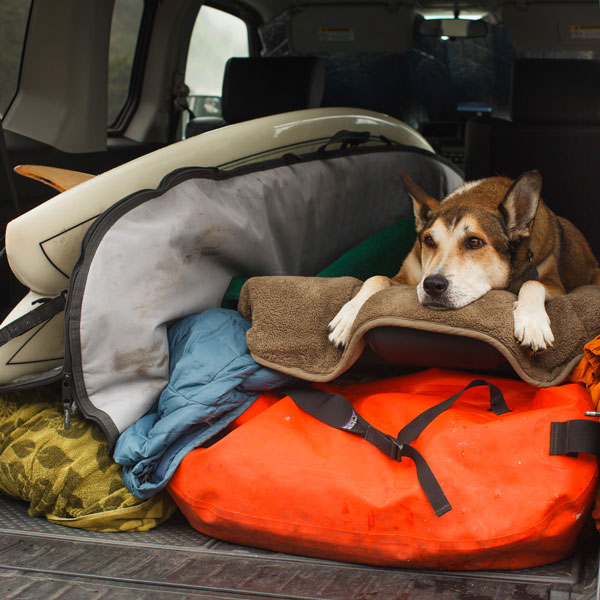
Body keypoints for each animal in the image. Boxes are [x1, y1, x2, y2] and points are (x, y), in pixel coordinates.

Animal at [328, 170, 600, 352]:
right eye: (429, 240)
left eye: (474, 242)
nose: (432, 285)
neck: (477, 196)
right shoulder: (408, 275)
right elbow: (376, 278)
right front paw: (349, 316)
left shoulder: (556, 285)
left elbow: (532, 283)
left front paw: (532, 322)